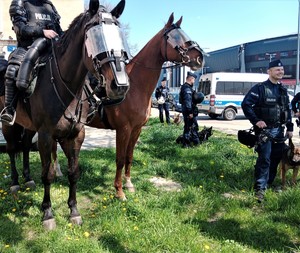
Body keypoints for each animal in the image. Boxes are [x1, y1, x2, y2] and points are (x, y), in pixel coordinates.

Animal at [0, 0, 129, 229]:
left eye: (118, 33)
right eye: (94, 36)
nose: (119, 85)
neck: (63, 84)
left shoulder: (76, 135)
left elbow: (73, 172)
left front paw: (74, 211)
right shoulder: (46, 136)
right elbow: (48, 174)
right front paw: (48, 214)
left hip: (28, 127)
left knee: (25, 146)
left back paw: (27, 179)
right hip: (9, 125)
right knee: (12, 149)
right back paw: (15, 182)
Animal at [85, 13, 205, 200]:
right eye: (175, 37)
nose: (200, 58)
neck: (135, 86)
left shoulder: (136, 129)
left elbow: (129, 156)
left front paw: (129, 184)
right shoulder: (124, 129)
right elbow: (120, 159)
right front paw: (119, 191)